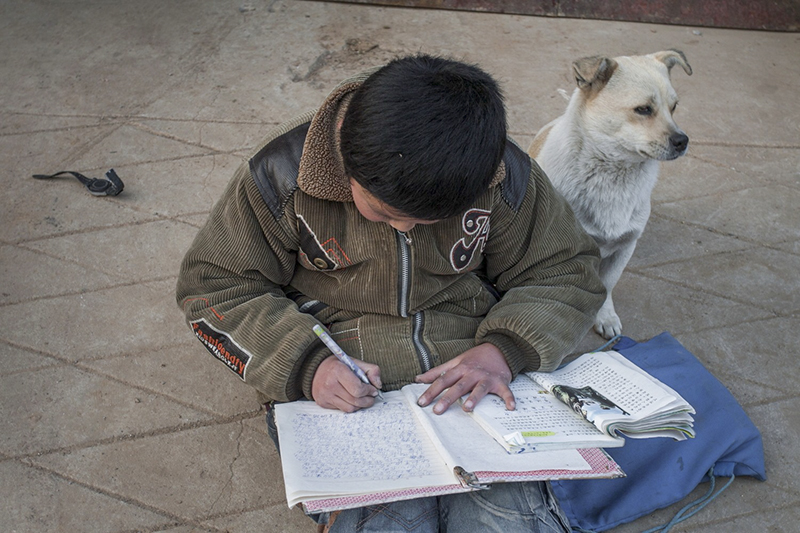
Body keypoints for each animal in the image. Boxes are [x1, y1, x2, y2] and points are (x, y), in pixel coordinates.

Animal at [528, 51, 692, 340]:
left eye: (674, 107)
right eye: (643, 109)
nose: (683, 141)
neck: (614, 177)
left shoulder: (625, 247)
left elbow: (607, 285)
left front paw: (604, 315)